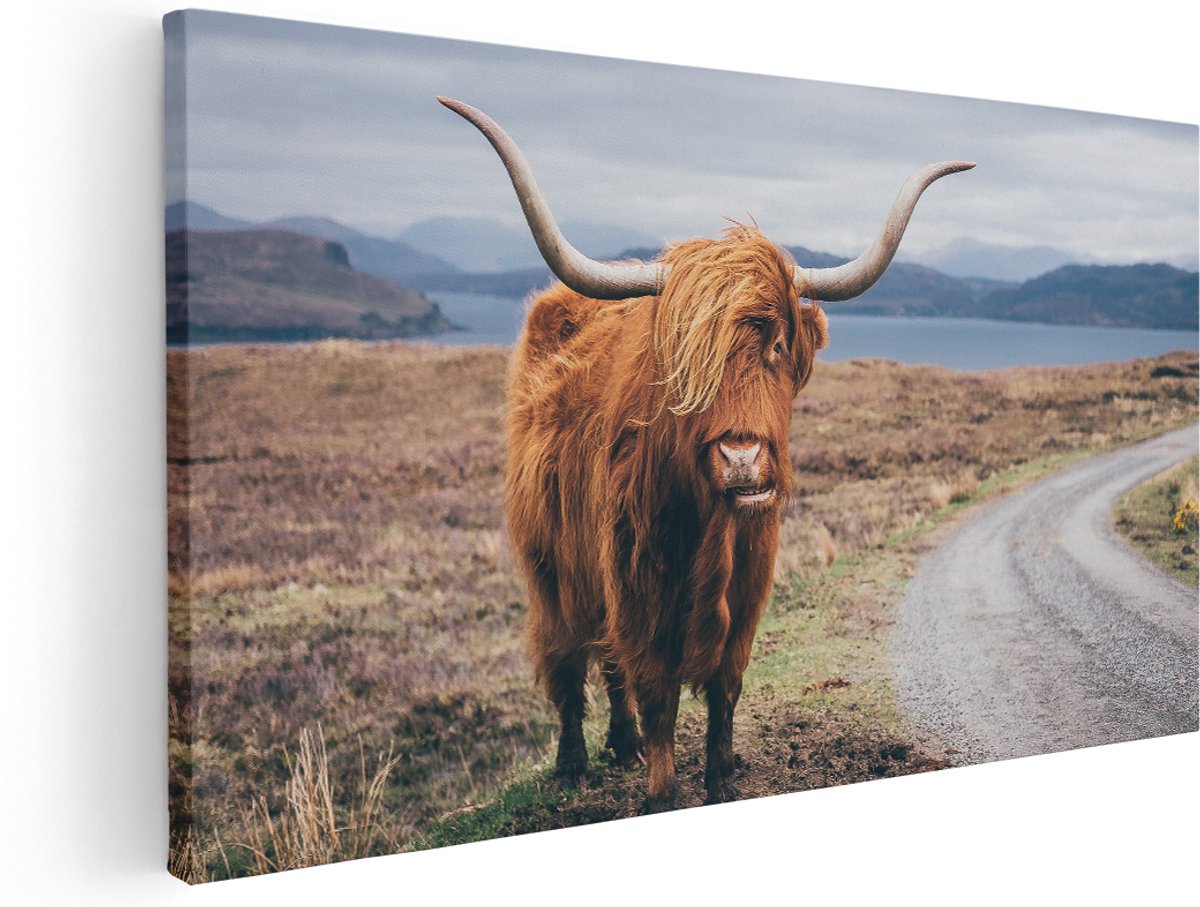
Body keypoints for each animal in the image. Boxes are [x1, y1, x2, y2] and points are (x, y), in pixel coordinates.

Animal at [439, 97, 972, 811]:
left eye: (777, 345)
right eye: (688, 359)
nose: (741, 459)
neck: (709, 531)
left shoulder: (745, 593)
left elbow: (723, 691)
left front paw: (719, 779)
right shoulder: (639, 587)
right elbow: (658, 697)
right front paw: (661, 792)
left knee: (606, 663)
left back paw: (621, 746)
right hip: (551, 561)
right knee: (567, 657)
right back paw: (575, 762)